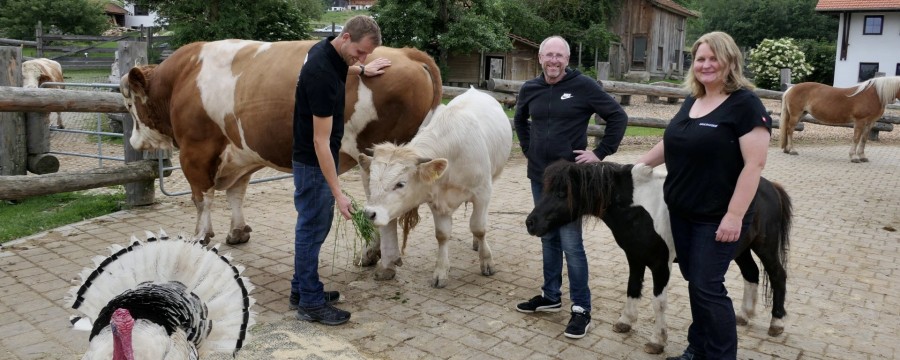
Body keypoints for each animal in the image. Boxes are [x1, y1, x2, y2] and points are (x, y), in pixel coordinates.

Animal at [119, 40, 442, 246]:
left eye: (129, 103)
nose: (135, 141)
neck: (183, 77)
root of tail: (407, 53)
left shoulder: (195, 151)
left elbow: (202, 198)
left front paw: (200, 235)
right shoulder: (240, 153)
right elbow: (236, 194)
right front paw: (238, 232)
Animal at [358, 87, 512, 286]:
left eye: (400, 184)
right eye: (372, 181)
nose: (370, 213)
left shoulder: (482, 193)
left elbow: (479, 227)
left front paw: (487, 262)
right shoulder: (436, 200)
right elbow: (442, 234)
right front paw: (441, 271)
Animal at [524, 162, 792, 356]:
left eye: (562, 193)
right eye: (546, 189)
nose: (531, 223)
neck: (641, 208)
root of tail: (770, 187)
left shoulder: (661, 265)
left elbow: (658, 303)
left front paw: (657, 341)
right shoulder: (635, 258)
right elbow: (632, 289)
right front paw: (625, 321)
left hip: (765, 247)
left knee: (778, 275)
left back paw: (777, 323)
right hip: (740, 248)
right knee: (751, 274)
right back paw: (744, 315)